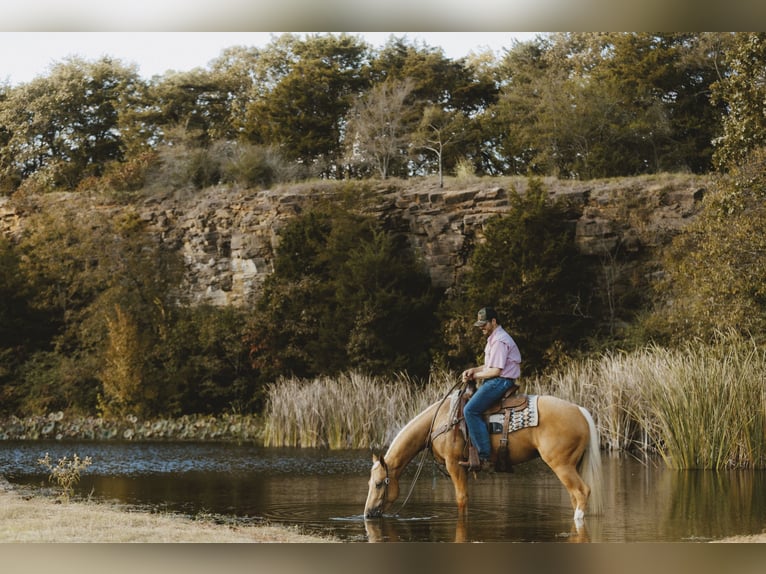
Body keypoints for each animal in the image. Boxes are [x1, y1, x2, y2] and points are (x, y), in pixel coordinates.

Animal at [364, 389, 604, 530]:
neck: (440, 420)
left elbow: (462, 499)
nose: (367, 514)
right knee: (575, 495)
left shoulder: (454, 464)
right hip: (572, 465)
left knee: (582, 492)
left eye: (379, 484)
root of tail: (579, 410)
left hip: (561, 465)